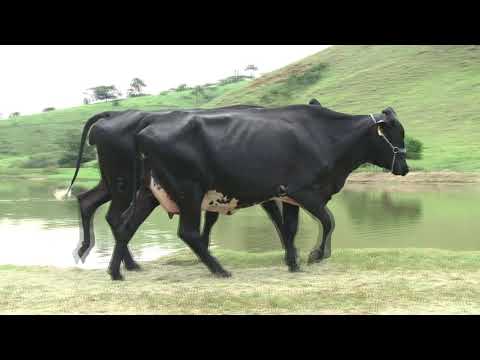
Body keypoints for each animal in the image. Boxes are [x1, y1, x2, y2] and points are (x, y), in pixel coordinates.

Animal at [113, 102, 408, 280]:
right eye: (395, 134)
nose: (405, 167)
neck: (322, 136)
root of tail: (146, 128)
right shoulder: (304, 191)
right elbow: (328, 221)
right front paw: (316, 255)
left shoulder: (288, 197)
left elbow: (290, 229)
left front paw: (294, 262)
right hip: (189, 192)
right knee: (189, 233)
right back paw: (220, 270)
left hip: (149, 192)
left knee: (126, 227)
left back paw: (116, 272)